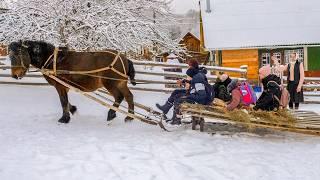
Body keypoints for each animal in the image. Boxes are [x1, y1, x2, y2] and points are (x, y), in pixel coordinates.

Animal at [8, 40, 136, 123]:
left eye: (16, 55)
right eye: (10, 56)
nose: (14, 75)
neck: (53, 60)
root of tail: (124, 58)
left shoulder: (60, 85)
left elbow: (63, 101)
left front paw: (64, 119)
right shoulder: (66, 86)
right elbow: (66, 101)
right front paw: (73, 110)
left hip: (110, 83)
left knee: (119, 97)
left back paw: (111, 114)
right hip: (121, 83)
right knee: (129, 96)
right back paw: (129, 117)